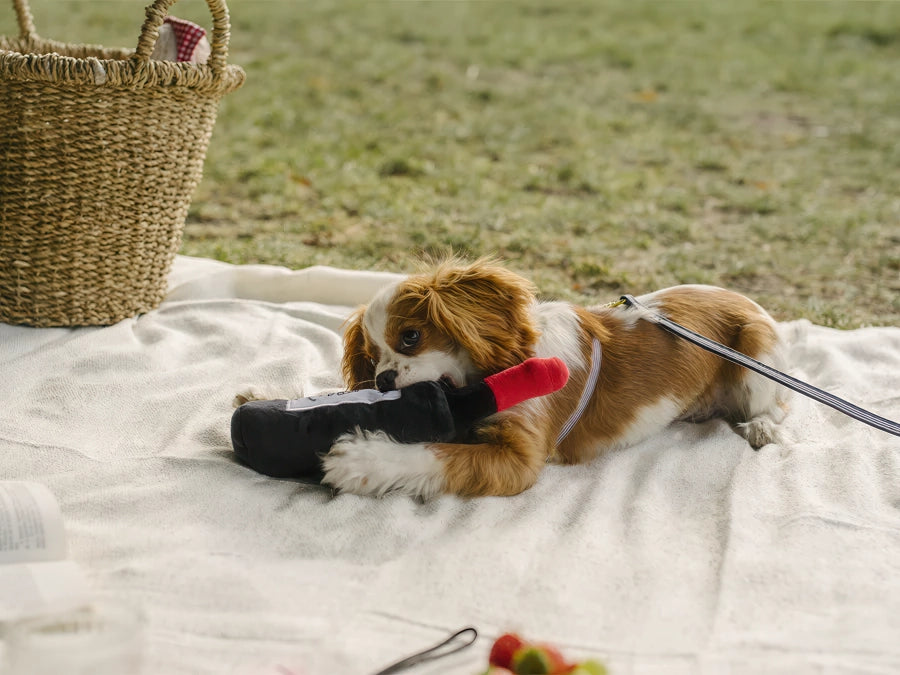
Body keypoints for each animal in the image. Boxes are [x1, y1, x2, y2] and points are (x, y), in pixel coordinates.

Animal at [320, 256, 784, 500]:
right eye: (371, 357)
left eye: (411, 337)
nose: (382, 380)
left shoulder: (519, 458)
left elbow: (439, 454)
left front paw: (365, 461)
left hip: (755, 348)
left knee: (776, 407)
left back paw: (761, 426)